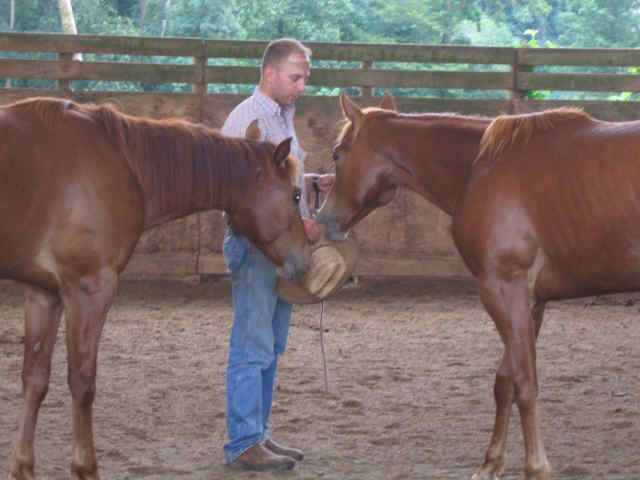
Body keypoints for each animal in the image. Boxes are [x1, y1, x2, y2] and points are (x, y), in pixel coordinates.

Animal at [0, 97, 310, 480]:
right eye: (295, 195)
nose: (304, 258)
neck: (121, 161)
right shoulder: (89, 290)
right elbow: (82, 382)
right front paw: (85, 468)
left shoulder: (44, 294)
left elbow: (35, 379)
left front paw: (23, 467)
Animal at [318, 92, 640, 478]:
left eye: (337, 154)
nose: (322, 219)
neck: (480, 167)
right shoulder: (530, 302)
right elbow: (505, 382)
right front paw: (491, 463)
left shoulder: (504, 290)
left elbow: (524, 383)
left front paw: (536, 467)